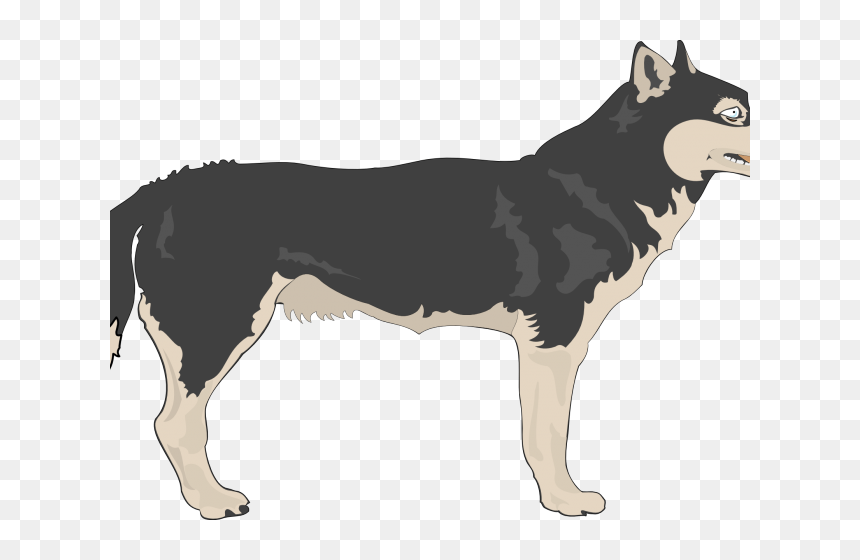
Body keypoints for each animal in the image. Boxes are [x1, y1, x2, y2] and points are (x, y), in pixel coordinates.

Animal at [109, 41, 750, 519]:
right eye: (733, 114)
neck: (612, 178)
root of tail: (169, 185)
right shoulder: (553, 339)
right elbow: (546, 431)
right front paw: (563, 500)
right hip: (217, 329)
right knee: (175, 422)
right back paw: (212, 502)